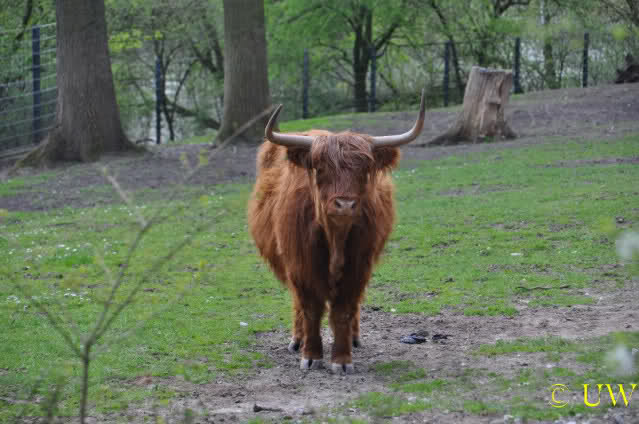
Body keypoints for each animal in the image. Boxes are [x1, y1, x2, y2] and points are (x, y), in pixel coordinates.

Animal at [248, 91, 425, 374]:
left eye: (364, 169)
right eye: (320, 169)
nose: (344, 204)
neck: (335, 239)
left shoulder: (359, 266)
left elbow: (344, 310)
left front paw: (342, 359)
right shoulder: (301, 265)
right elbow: (310, 309)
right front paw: (311, 355)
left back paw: (354, 338)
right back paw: (297, 340)